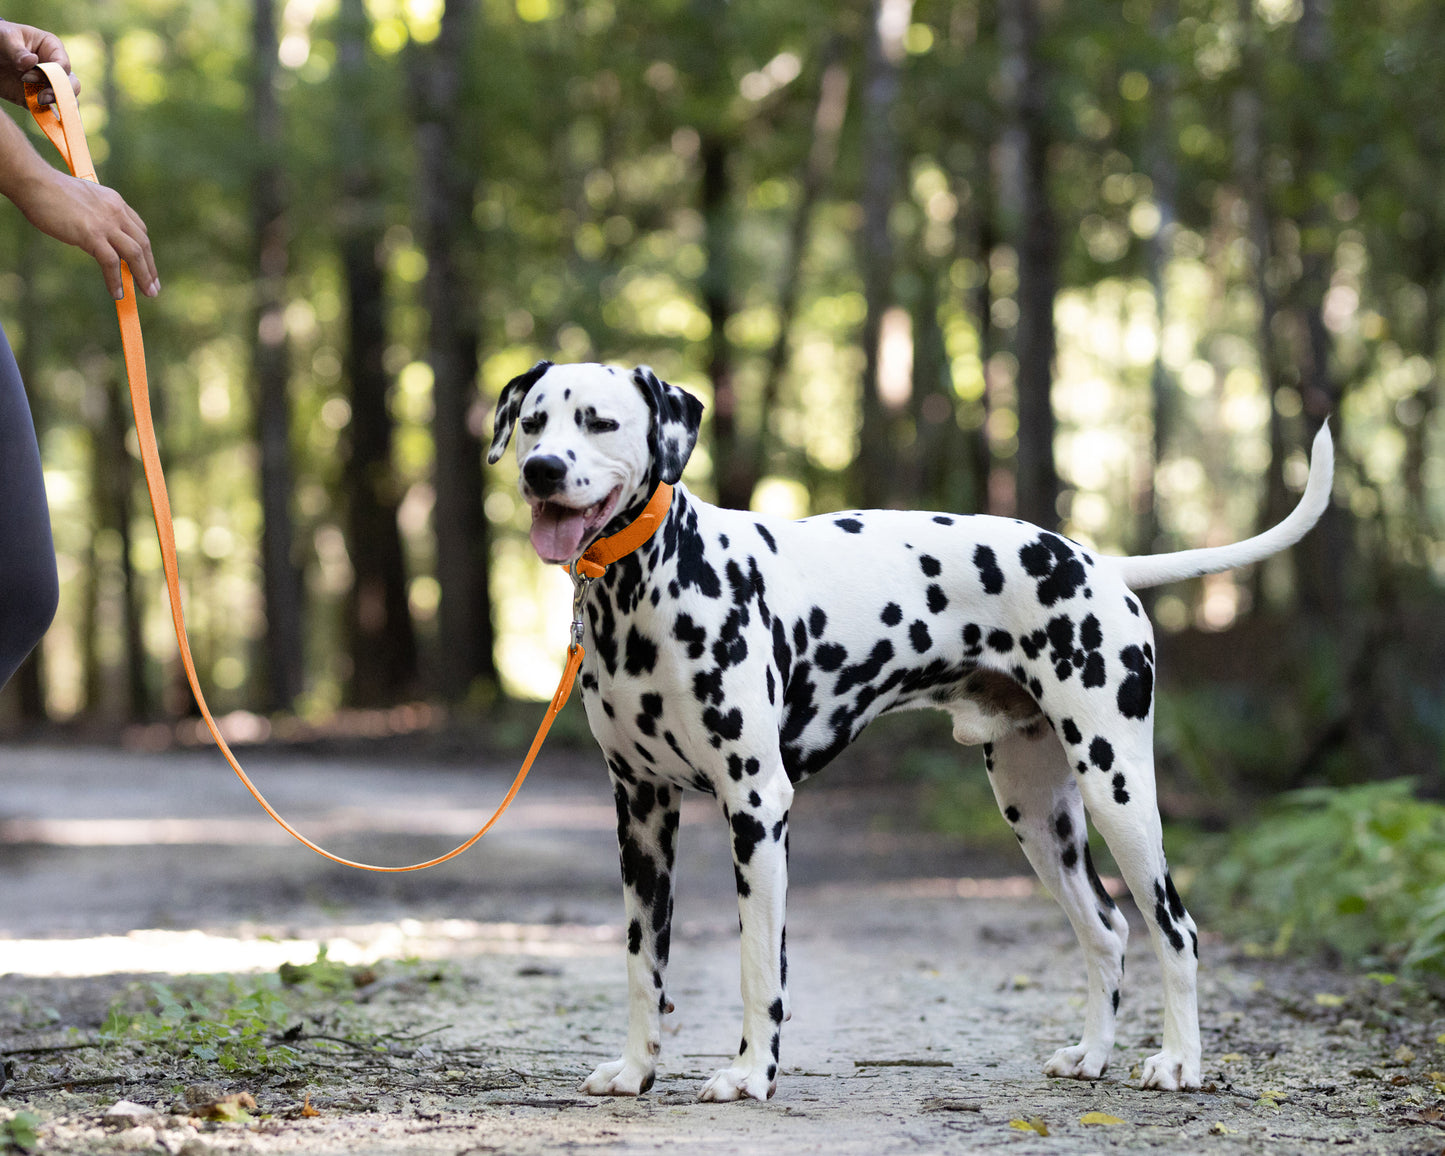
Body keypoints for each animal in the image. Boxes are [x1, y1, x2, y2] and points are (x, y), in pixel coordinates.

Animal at [485, 358, 1329, 1103]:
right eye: (533, 423)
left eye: (599, 421)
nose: (542, 470)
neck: (648, 589)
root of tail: (1099, 563)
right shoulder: (640, 814)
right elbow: (642, 963)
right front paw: (635, 1071)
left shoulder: (755, 807)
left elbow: (758, 963)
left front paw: (750, 1075)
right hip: (1038, 815)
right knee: (1107, 930)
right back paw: (1090, 1056)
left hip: (1117, 788)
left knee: (1174, 928)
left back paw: (1179, 1062)